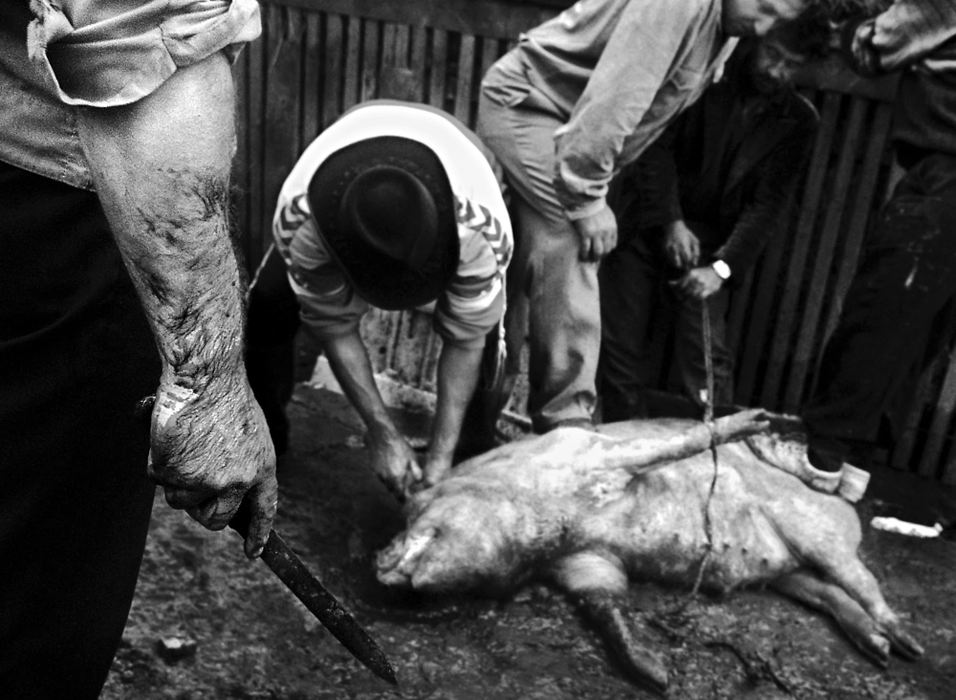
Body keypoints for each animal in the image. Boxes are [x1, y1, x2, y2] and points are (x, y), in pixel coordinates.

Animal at [376, 412, 928, 692]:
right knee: (828, 594)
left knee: (864, 583)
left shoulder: (599, 455)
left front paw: (760, 418)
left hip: (814, 530)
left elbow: (682, 442)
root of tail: (845, 508)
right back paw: (878, 650)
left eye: (415, 504)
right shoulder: (584, 559)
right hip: (786, 571)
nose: (381, 563)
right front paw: (658, 675)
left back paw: (907, 648)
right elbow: (604, 606)